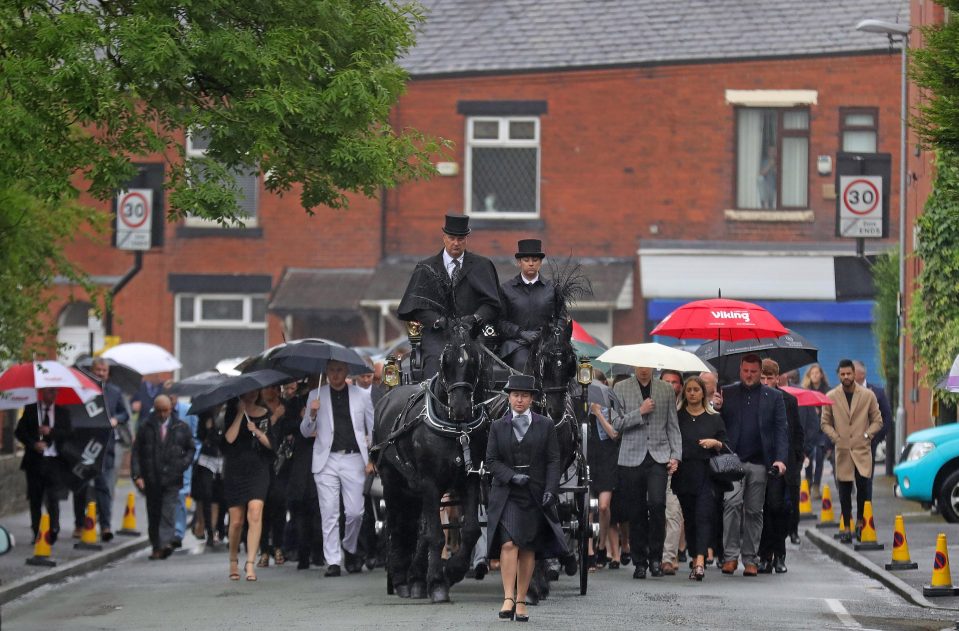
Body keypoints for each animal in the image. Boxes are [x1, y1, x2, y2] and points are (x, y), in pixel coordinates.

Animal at [372, 318, 502, 604]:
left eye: (474, 360)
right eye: (445, 360)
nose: (461, 407)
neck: (457, 430)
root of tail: (387, 398)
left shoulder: (469, 480)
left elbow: (470, 531)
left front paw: (450, 571)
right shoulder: (430, 484)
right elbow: (435, 534)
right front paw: (438, 583)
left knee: (415, 528)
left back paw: (415, 578)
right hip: (392, 482)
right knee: (397, 525)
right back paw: (401, 579)